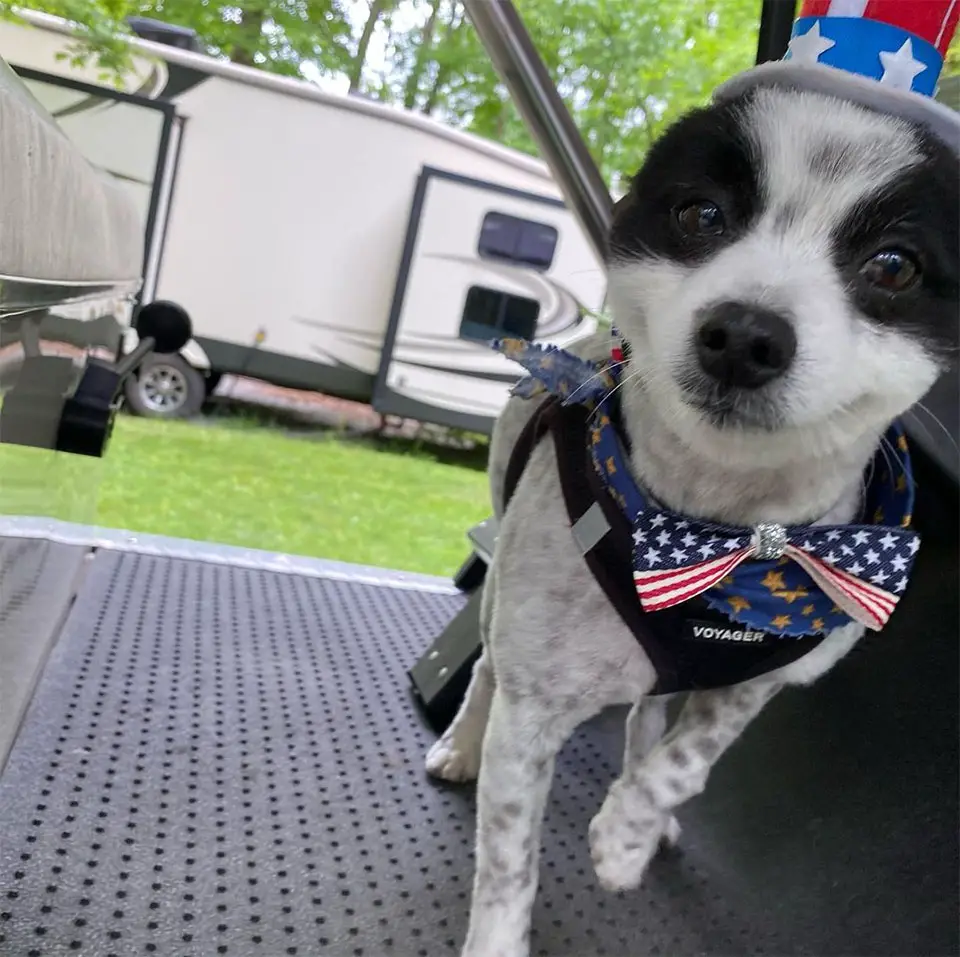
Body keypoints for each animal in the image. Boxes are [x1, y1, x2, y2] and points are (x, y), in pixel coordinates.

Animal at [428, 82, 960, 956]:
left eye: (894, 264)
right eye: (700, 214)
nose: (745, 335)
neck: (725, 533)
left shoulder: (757, 681)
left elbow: (686, 762)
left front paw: (627, 835)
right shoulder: (535, 707)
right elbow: (507, 860)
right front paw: (502, 933)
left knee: (650, 717)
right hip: (503, 584)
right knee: (487, 671)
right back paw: (462, 744)